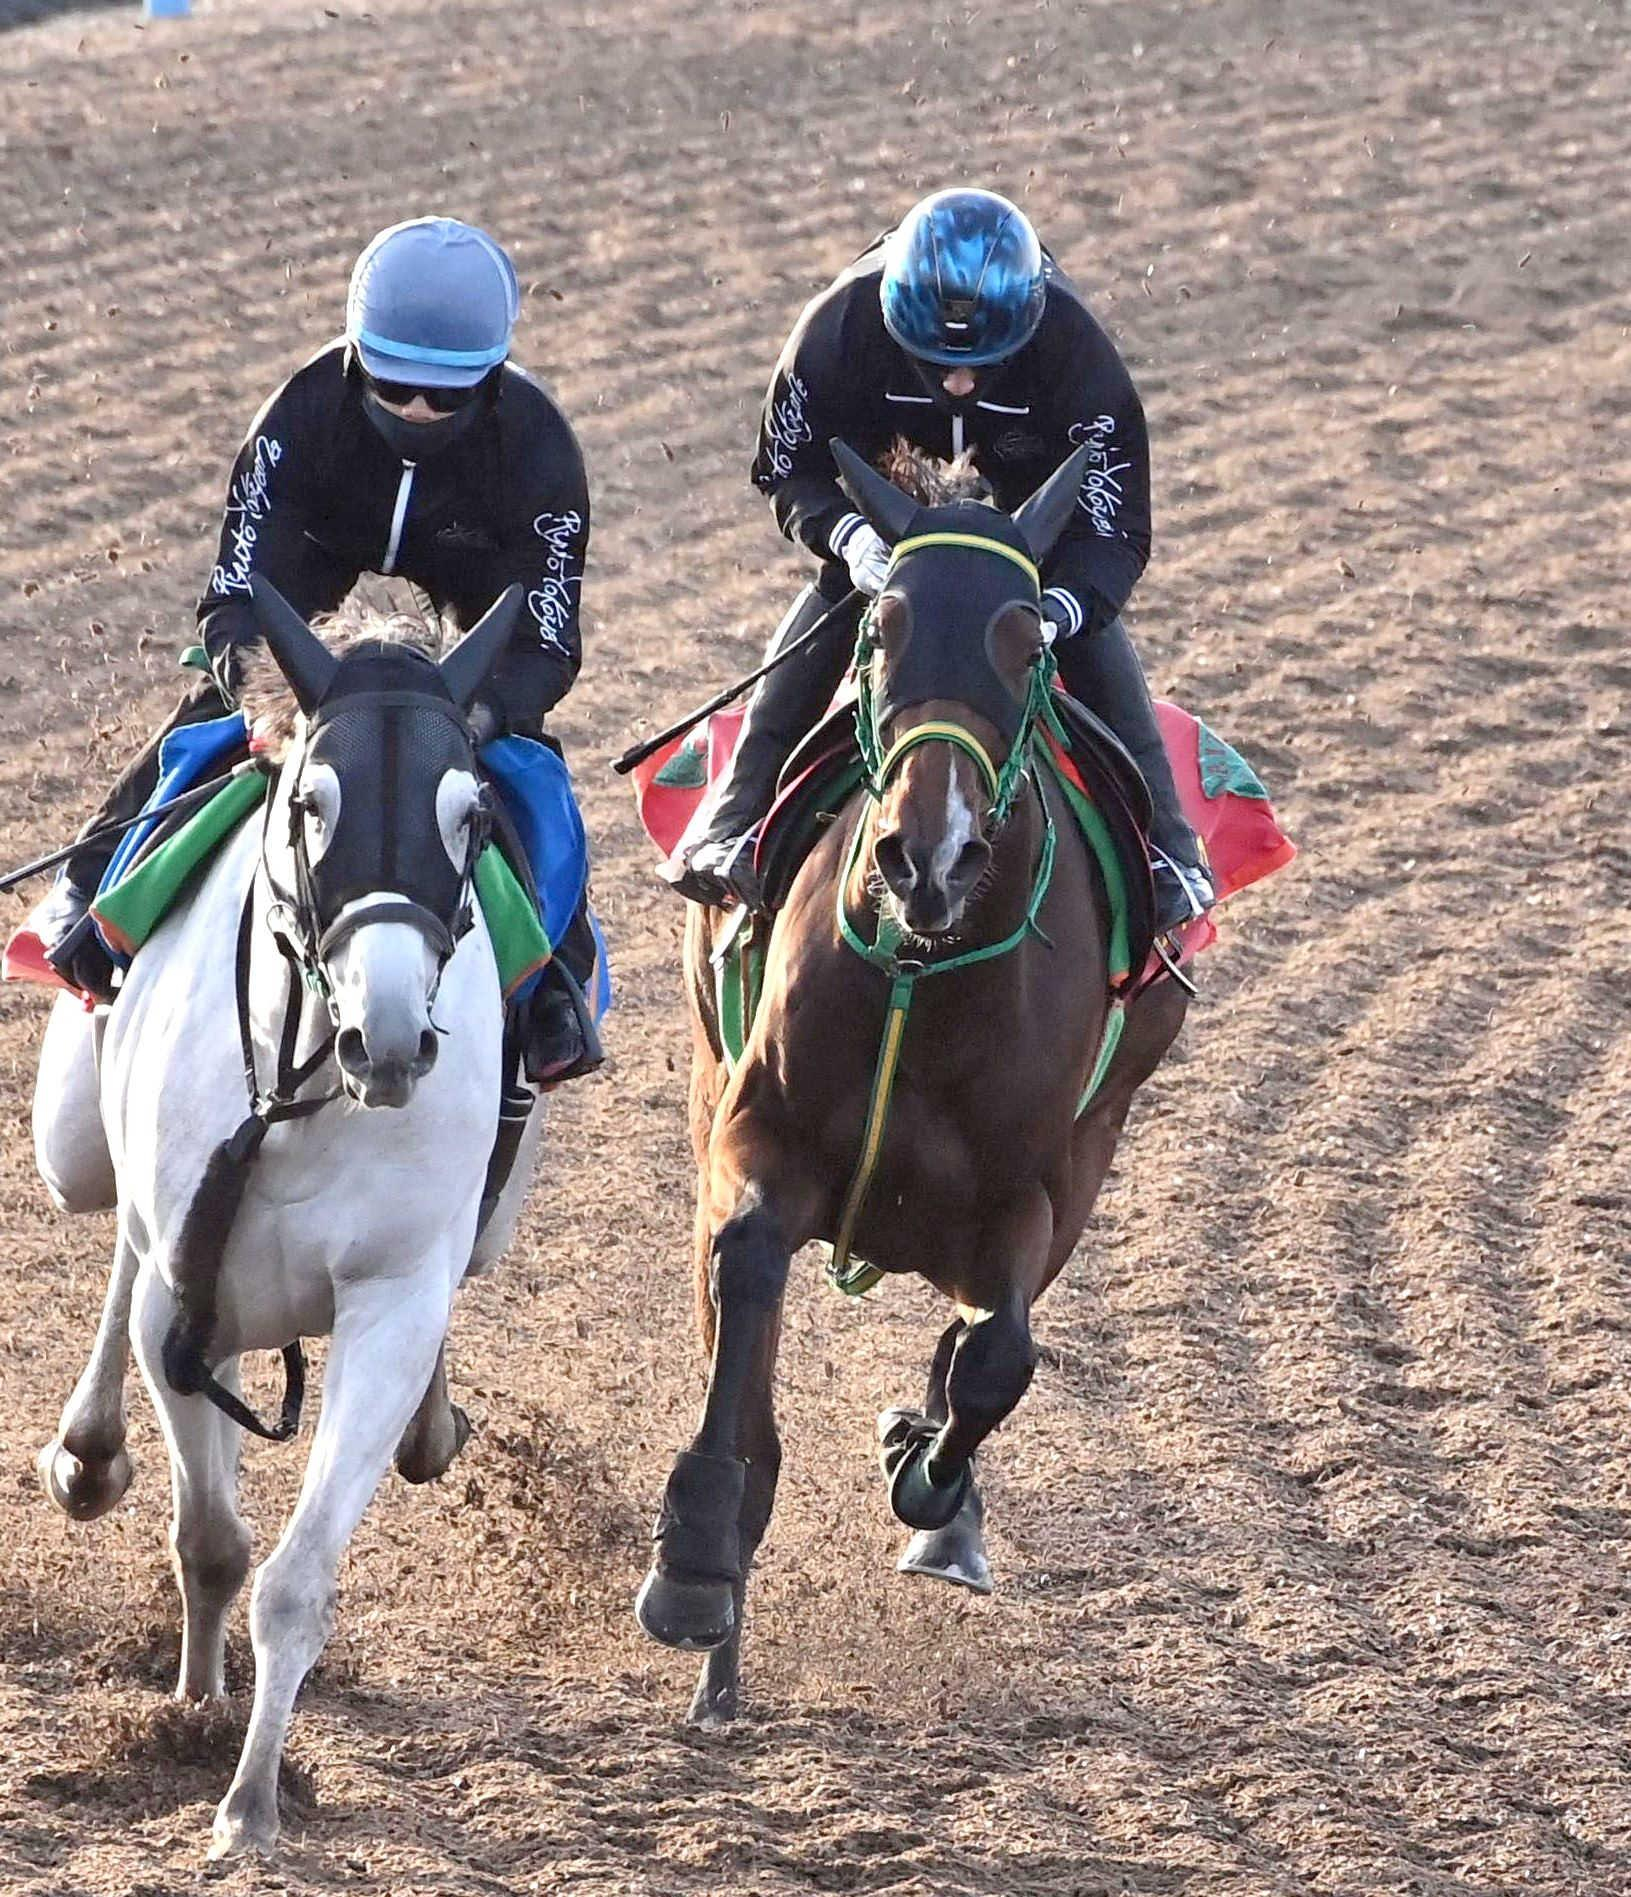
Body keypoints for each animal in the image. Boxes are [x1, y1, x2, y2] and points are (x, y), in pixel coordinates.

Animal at [29, 580, 549, 1858]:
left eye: (470, 814)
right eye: (312, 801)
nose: (393, 1038)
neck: (302, 1084)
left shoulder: (390, 1304)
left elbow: (297, 1578)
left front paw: (251, 1797)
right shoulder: (187, 1294)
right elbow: (212, 1541)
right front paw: (191, 1712)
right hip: (72, 1147)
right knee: (111, 1229)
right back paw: (87, 1448)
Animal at [636, 439, 1191, 1726]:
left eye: (1027, 641)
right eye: (878, 630)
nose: (922, 854)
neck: (923, 978)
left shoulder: (1033, 1187)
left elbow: (997, 1357)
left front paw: (923, 1476)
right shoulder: (755, 1134)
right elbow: (745, 1289)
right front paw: (695, 1558)